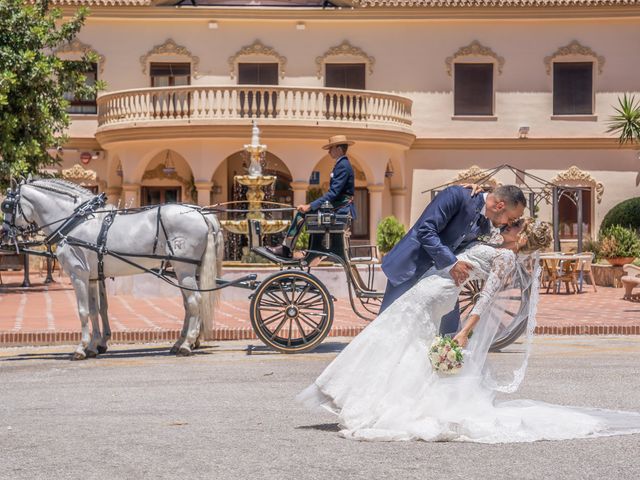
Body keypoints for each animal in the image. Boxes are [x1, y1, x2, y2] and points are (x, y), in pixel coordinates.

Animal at [5, 178, 222, 358]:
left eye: (6, 205)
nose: (4, 232)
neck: (75, 222)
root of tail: (201, 214)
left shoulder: (78, 274)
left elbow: (83, 310)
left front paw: (81, 348)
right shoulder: (93, 277)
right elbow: (96, 309)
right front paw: (95, 345)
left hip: (184, 269)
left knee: (194, 301)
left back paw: (186, 344)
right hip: (188, 270)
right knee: (190, 304)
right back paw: (182, 342)